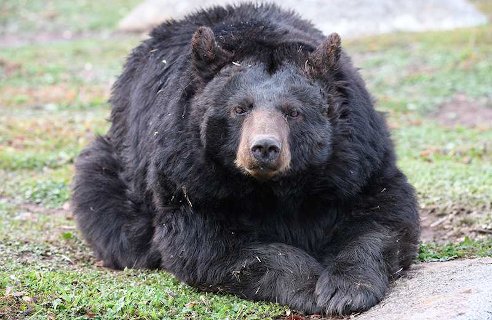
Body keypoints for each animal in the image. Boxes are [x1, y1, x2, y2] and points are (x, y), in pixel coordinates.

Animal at [72, 3, 418, 316]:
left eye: (293, 112)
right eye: (240, 109)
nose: (264, 148)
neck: (273, 187)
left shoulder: (354, 159)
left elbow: (383, 215)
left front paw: (344, 290)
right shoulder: (189, 173)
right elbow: (208, 244)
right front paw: (309, 286)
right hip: (119, 168)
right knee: (103, 201)